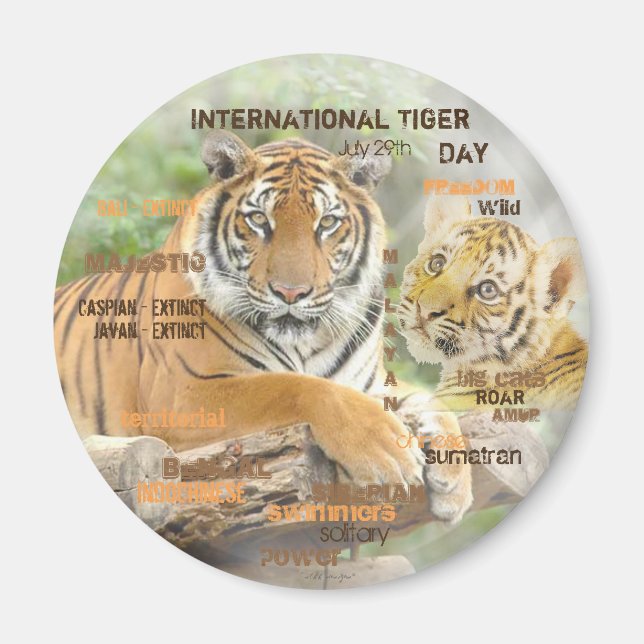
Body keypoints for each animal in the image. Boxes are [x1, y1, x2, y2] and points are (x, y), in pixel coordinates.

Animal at [54, 132, 472, 523]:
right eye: (258, 220)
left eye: (327, 223)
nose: (291, 292)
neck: (307, 342)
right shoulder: (182, 394)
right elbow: (294, 386)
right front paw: (384, 451)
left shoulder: (371, 383)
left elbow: (429, 398)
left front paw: (455, 482)